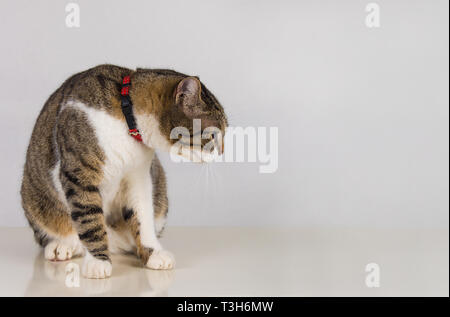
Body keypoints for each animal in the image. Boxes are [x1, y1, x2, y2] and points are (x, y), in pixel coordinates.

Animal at [20, 64, 227, 276]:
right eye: (213, 135)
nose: (222, 152)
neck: (127, 118)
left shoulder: (139, 175)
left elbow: (143, 214)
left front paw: (152, 252)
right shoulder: (80, 174)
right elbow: (89, 219)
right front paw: (98, 261)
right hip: (33, 200)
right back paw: (62, 245)